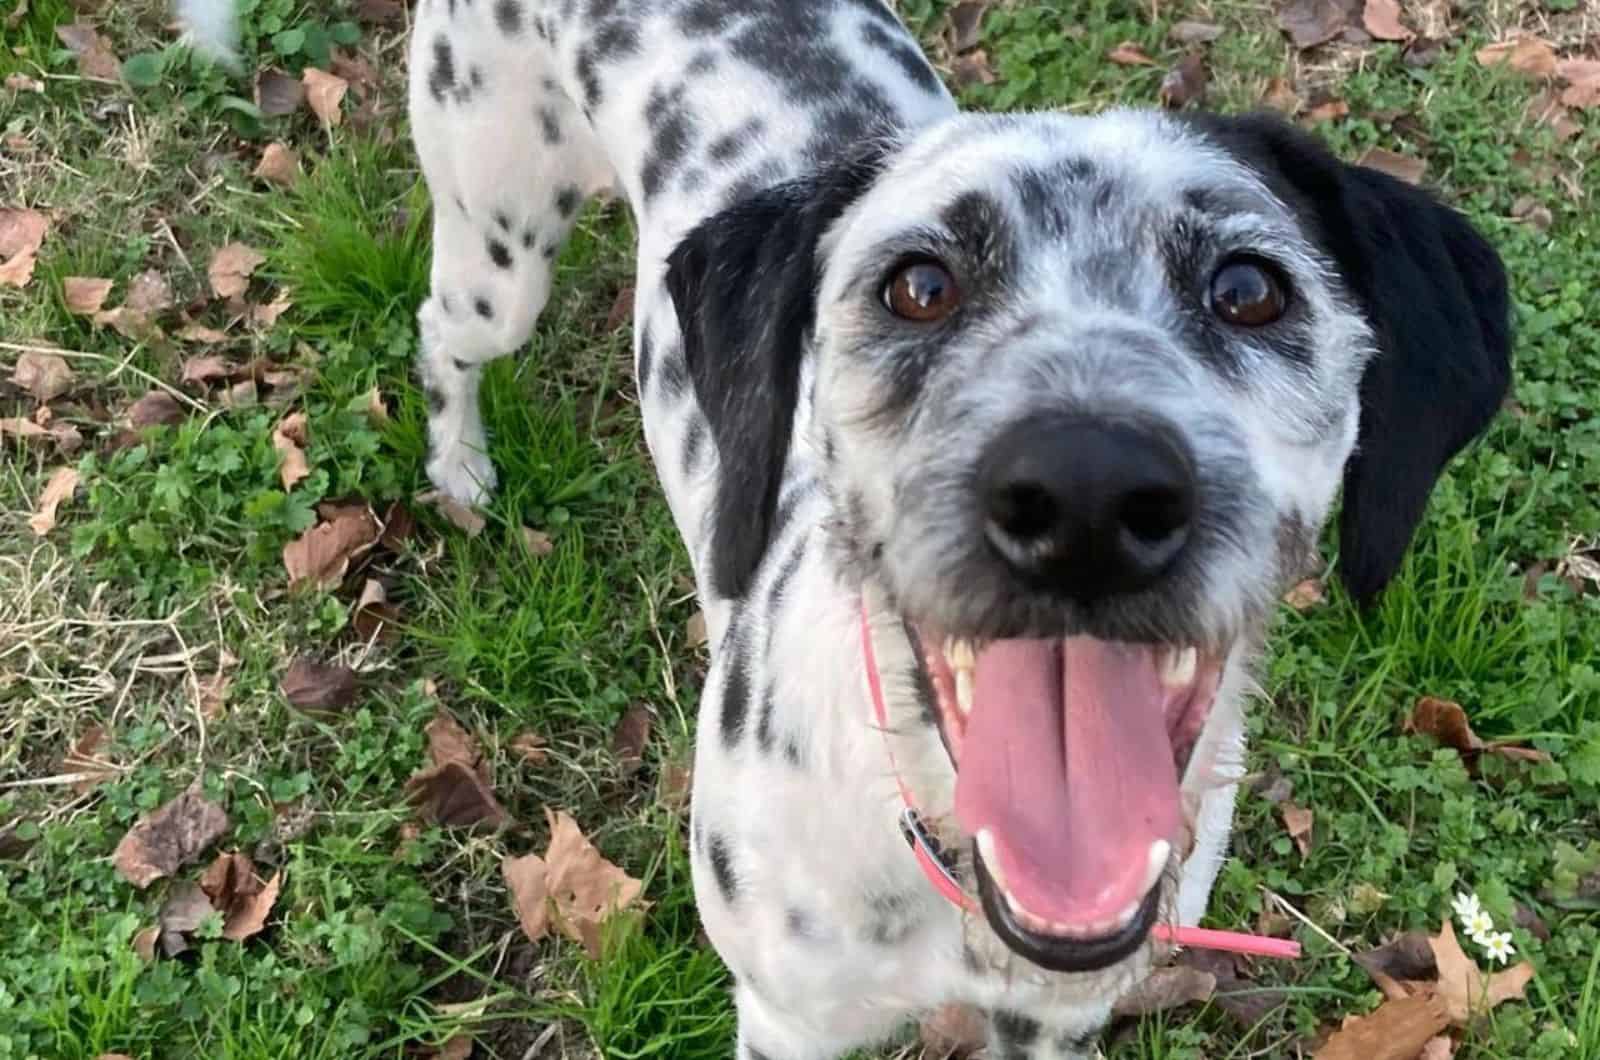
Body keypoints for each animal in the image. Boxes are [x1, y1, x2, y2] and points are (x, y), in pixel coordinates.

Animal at [178, 0, 1510, 1056]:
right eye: (918, 284)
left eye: (1248, 288)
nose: (1085, 497)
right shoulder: (787, 1022)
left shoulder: (1052, 1023)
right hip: (495, 241)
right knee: (439, 334)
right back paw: (458, 463)